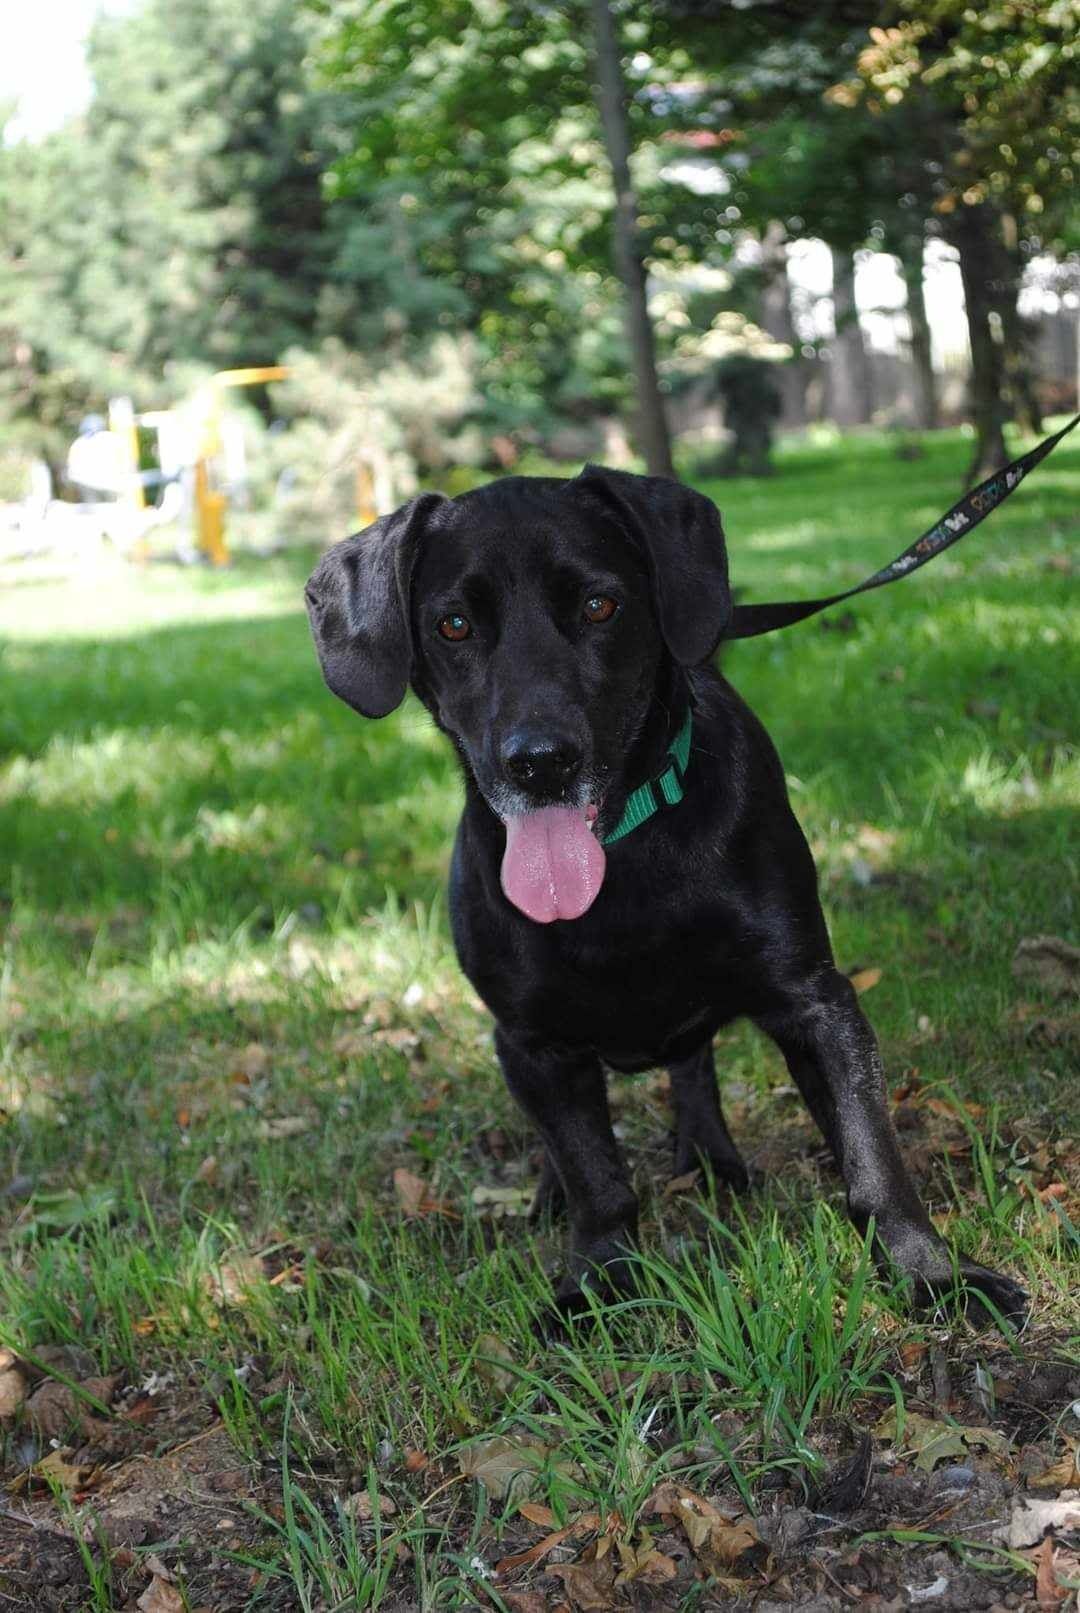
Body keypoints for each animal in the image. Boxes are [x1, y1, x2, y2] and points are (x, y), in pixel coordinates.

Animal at [306, 467, 1031, 1322]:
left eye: (599, 605)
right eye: (453, 624)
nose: (540, 762)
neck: (620, 854)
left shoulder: (817, 1001)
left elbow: (871, 1152)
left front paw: (931, 1273)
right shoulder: (530, 1041)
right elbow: (596, 1172)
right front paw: (596, 1280)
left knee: (695, 1064)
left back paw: (710, 1154)